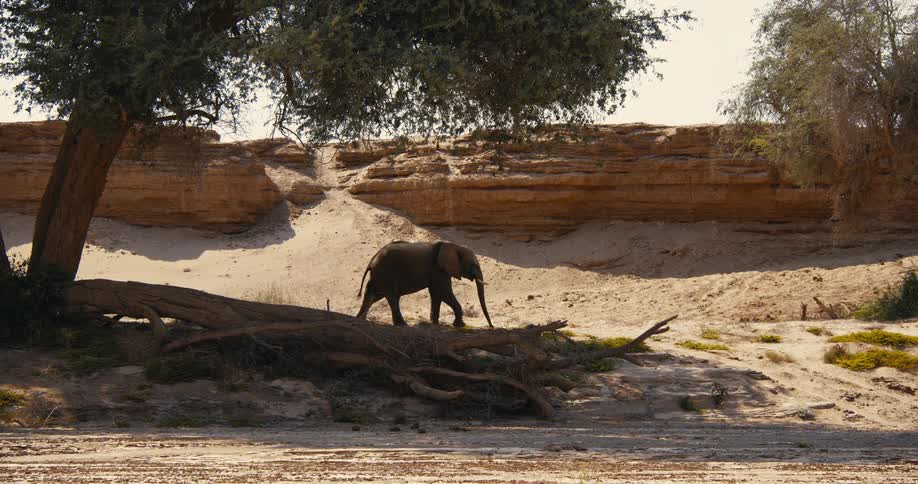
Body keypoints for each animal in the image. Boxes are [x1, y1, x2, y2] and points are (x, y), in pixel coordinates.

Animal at [355, 240, 493, 328]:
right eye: (474, 265)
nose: (491, 326)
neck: (454, 245)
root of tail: (372, 261)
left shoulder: (439, 270)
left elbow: (437, 293)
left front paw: (435, 323)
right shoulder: (438, 269)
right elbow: (443, 292)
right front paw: (460, 325)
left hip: (379, 276)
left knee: (371, 295)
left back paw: (359, 320)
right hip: (386, 272)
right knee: (392, 297)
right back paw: (402, 325)